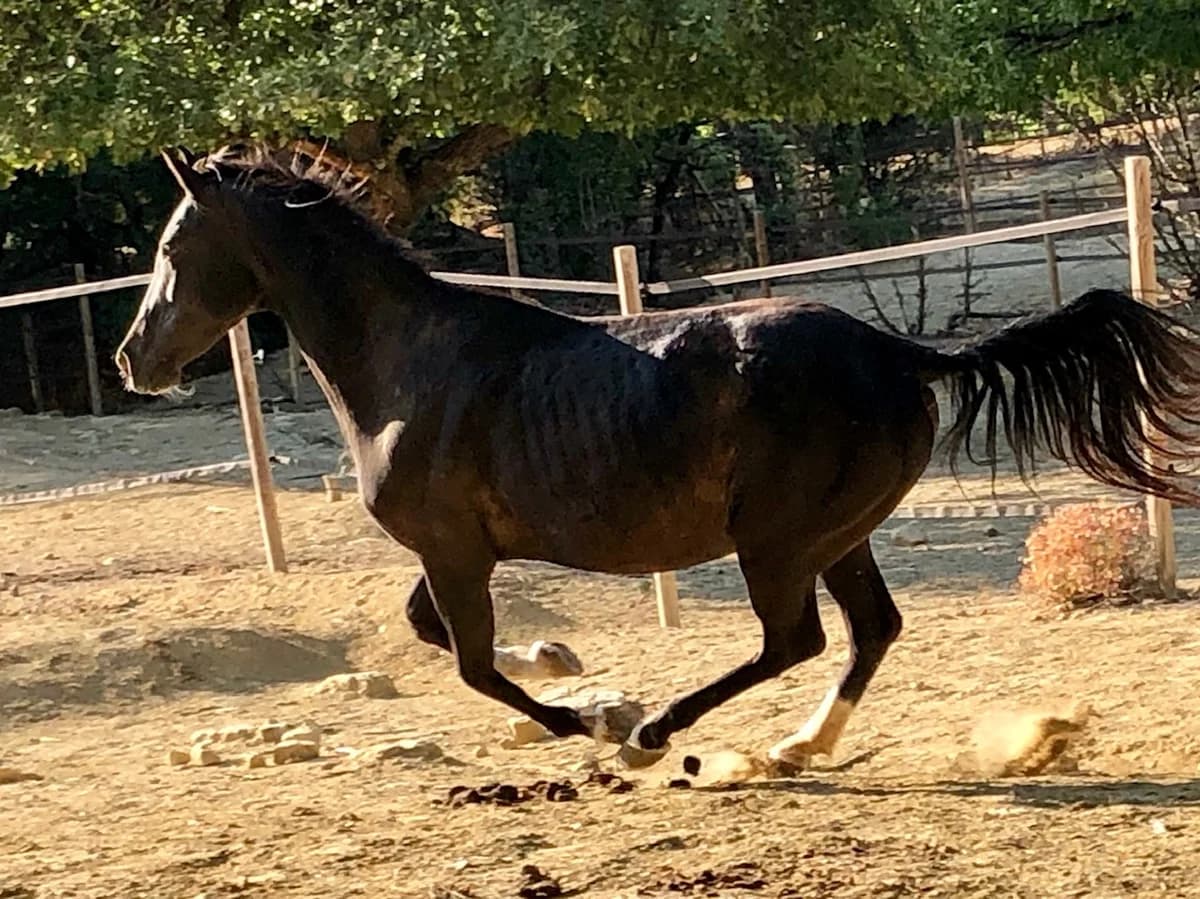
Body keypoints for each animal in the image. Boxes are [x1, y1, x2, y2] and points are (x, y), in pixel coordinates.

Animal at [116, 145, 1200, 770]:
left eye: (171, 247)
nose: (134, 358)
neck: (408, 362)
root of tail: (899, 353)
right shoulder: (455, 551)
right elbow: (439, 637)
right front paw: (564, 664)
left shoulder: (454, 550)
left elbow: (469, 662)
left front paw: (590, 719)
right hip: (837, 536)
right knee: (870, 630)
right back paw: (796, 745)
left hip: (777, 542)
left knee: (795, 639)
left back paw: (657, 736)